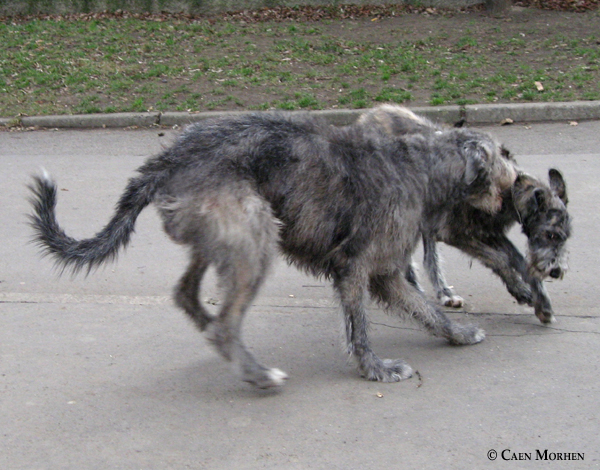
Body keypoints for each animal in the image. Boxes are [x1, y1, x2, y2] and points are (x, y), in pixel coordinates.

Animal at [28, 111, 516, 390]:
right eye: (503, 154)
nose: (516, 172)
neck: (422, 166)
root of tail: (166, 159)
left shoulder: (386, 272)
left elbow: (426, 310)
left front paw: (459, 334)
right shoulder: (358, 267)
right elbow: (360, 325)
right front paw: (375, 368)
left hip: (219, 231)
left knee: (187, 293)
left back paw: (217, 335)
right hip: (252, 234)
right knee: (225, 321)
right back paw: (255, 371)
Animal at [356, 104, 572, 324]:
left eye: (565, 237)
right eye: (550, 234)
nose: (556, 271)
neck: (508, 192)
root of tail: (373, 112)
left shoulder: (490, 233)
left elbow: (519, 261)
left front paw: (542, 304)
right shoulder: (455, 234)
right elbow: (499, 259)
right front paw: (520, 290)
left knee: (428, 258)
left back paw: (443, 293)